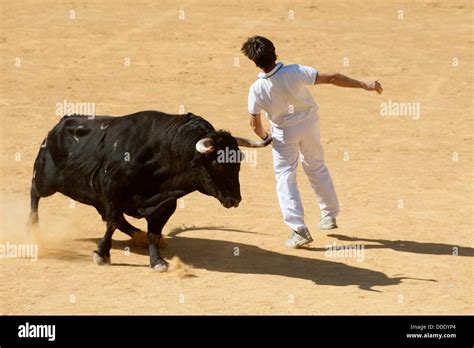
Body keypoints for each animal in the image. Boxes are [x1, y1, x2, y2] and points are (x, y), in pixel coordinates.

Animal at [29, 110, 272, 270]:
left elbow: (153, 231)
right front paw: (101, 254)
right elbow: (112, 222)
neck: (165, 153)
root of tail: (61, 123)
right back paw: (33, 228)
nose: (235, 200)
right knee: (35, 193)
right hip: (46, 178)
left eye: (238, 163)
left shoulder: (165, 204)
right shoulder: (112, 190)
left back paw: (138, 235)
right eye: (218, 164)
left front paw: (157, 261)